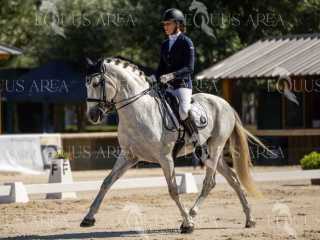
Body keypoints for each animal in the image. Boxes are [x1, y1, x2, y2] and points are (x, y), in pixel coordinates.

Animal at [81, 57, 266, 233]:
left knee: (209, 183)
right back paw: (249, 219)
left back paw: (192, 215)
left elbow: (173, 190)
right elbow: (107, 182)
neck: (139, 111)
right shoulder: (129, 155)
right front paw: (88, 218)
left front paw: (187, 224)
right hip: (208, 153)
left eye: (96, 83)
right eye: (86, 84)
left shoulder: (165, 158)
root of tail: (224, 103)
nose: (92, 116)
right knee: (232, 179)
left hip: (215, 148)